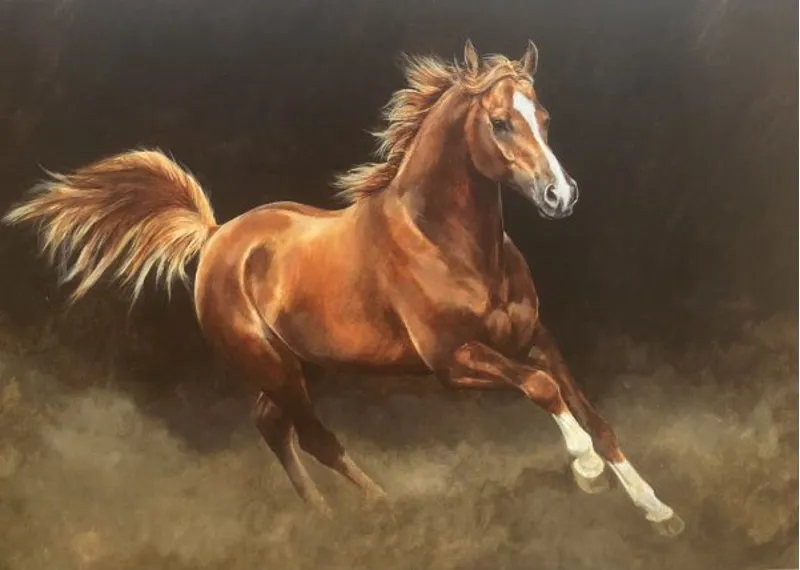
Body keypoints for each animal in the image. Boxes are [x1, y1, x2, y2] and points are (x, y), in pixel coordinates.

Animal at [3, 40, 684, 537]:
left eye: (542, 119)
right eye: (499, 123)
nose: (560, 195)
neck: (450, 244)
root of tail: (218, 236)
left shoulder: (535, 337)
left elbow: (593, 412)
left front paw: (656, 508)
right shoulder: (454, 362)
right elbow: (544, 391)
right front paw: (586, 470)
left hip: (305, 365)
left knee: (272, 426)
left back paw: (324, 515)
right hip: (273, 364)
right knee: (313, 436)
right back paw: (379, 508)